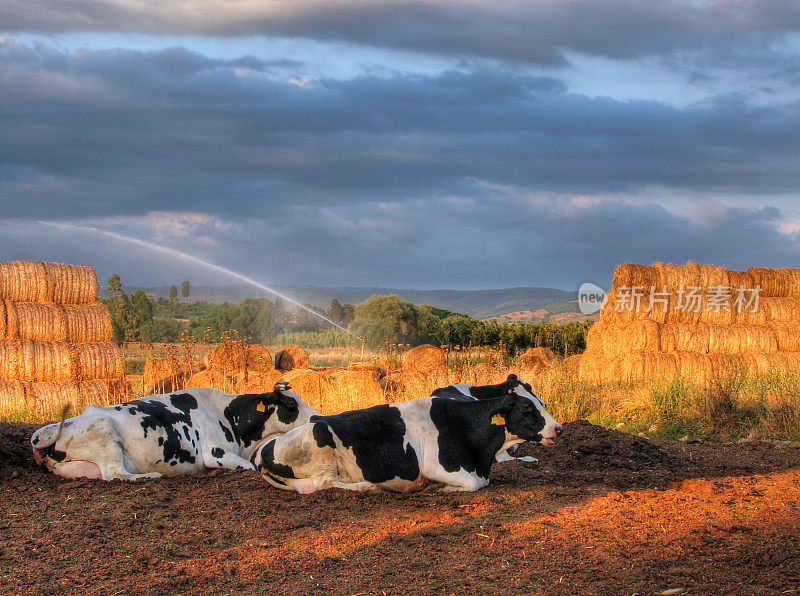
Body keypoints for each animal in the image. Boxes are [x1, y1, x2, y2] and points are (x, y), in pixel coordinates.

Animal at [31, 384, 318, 482]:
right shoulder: (215, 453)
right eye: (291, 405)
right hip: (105, 432)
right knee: (116, 474)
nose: (318, 416)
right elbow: (247, 467)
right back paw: (150, 476)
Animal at [255, 392, 564, 494]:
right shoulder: (438, 466)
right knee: (324, 484)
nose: (559, 428)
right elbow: (473, 485)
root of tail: (263, 451)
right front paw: (443, 489)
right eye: (527, 409)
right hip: (320, 445)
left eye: (543, 403)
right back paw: (367, 487)